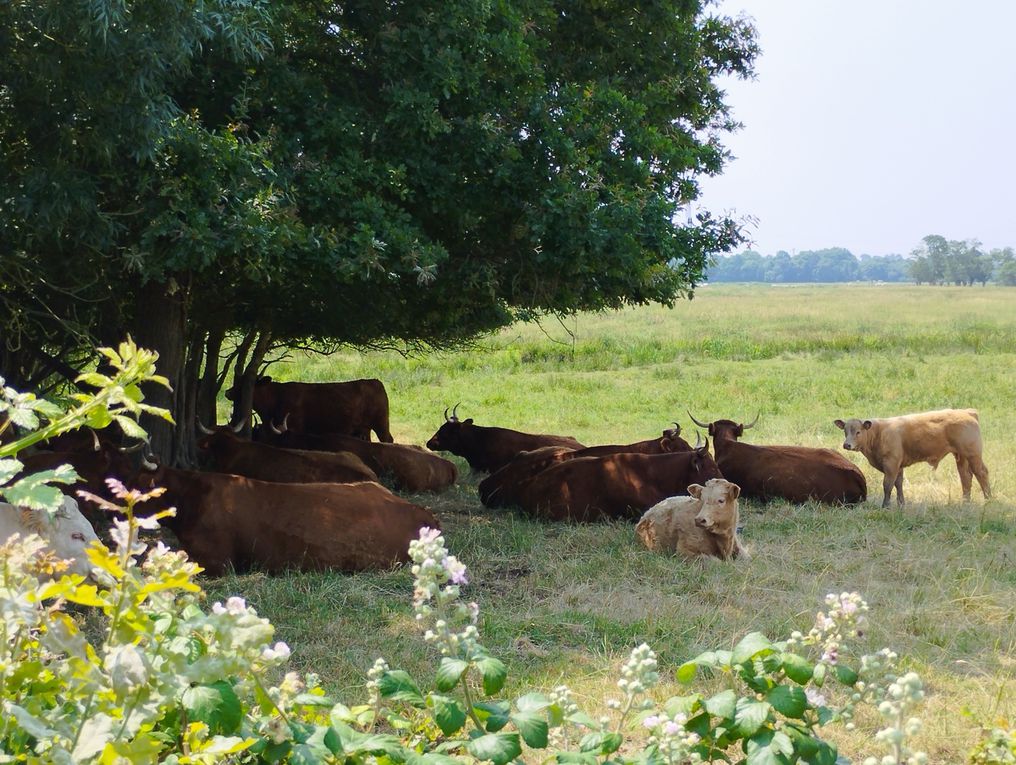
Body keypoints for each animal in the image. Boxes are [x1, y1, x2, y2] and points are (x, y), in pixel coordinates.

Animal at [833, 406, 991, 507]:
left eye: (858, 432)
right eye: (845, 431)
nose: (847, 445)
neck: (879, 433)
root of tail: (967, 412)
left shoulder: (891, 464)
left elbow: (887, 485)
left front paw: (885, 506)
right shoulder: (898, 466)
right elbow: (898, 484)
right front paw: (901, 504)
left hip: (973, 454)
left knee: (981, 473)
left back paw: (988, 499)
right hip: (961, 456)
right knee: (966, 477)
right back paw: (965, 502)